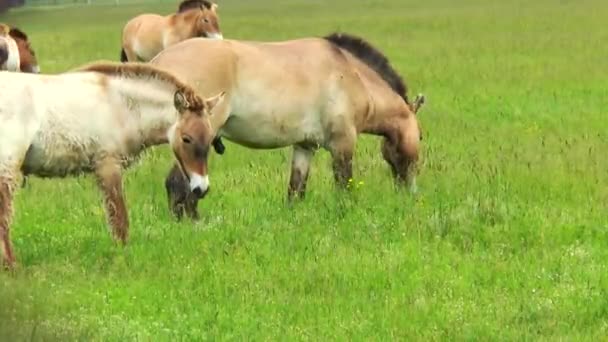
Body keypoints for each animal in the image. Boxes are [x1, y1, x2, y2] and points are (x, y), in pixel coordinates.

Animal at [0, 62, 226, 268]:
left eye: (210, 138)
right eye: (186, 139)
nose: (201, 188)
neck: (120, 104)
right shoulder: (108, 165)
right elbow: (120, 220)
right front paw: (122, 257)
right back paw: (12, 267)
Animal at [151, 32, 428, 219]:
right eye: (421, 137)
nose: (410, 194)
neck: (351, 73)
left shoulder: (305, 146)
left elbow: (296, 190)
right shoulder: (343, 143)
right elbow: (344, 185)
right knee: (179, 184)